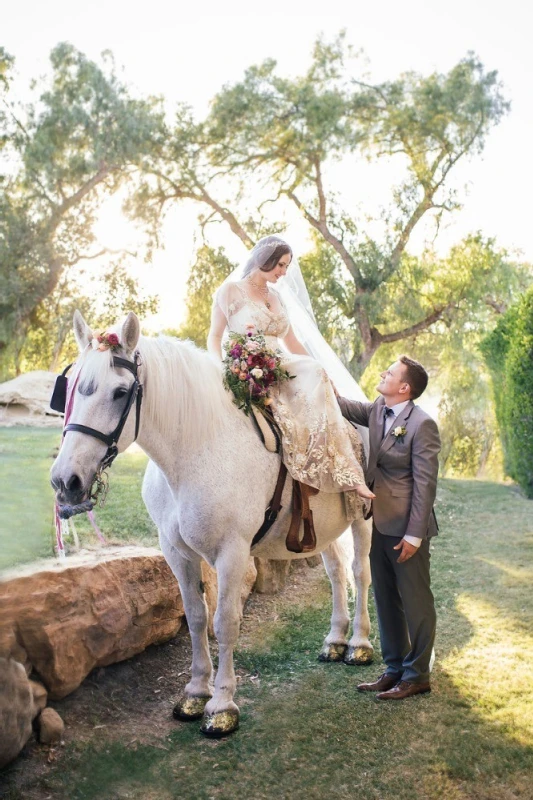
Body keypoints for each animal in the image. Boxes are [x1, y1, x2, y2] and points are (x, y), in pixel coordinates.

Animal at [52, 312, 372, 736]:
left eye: (120, 392)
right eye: (70, 386)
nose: (65, 481)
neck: (199, 450)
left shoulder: (232, 553)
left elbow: (225, 623)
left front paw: (221, 704)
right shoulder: (176, 553)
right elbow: (196, 617)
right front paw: (195, 692)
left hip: (364, 518)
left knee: (361, 573)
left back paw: (360, 644)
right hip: (324, 530)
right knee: (337, 573)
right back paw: (335, 639)